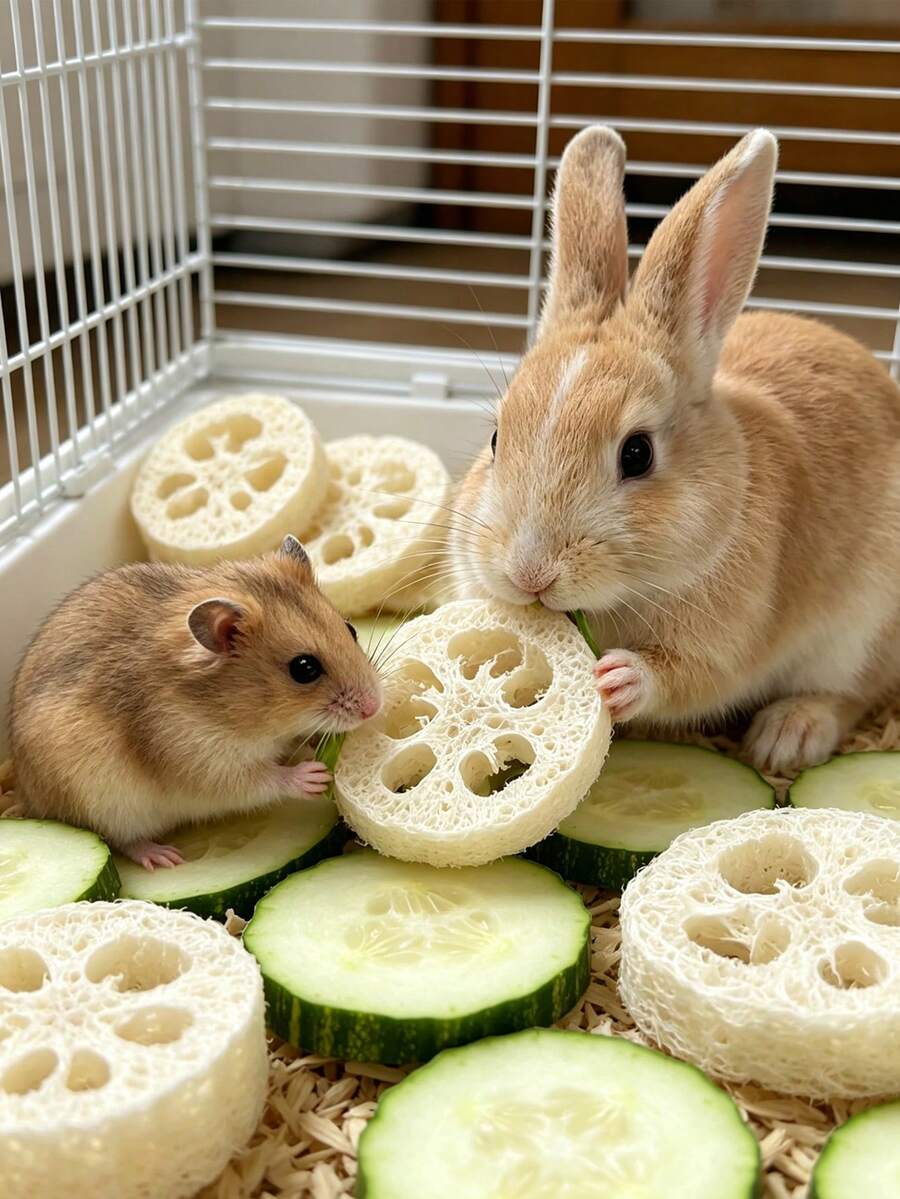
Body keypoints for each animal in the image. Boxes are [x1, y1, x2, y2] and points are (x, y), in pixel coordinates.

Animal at [10, 535, 382, 868]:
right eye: (304, 669)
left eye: (351, 630)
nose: (373, 708)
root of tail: (27, 796)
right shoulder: (203, 761)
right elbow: (261, 780)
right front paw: (312, 775)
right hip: (105, 802)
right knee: (120, 840)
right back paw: (162, 857)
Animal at [448, 124, 900, 774]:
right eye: (495, 438)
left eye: (637, 454)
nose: (529, 574)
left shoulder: (724, 640)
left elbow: (686, 678)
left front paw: (620, 679)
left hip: (861, 627)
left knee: (853, 691)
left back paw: (788, 733)